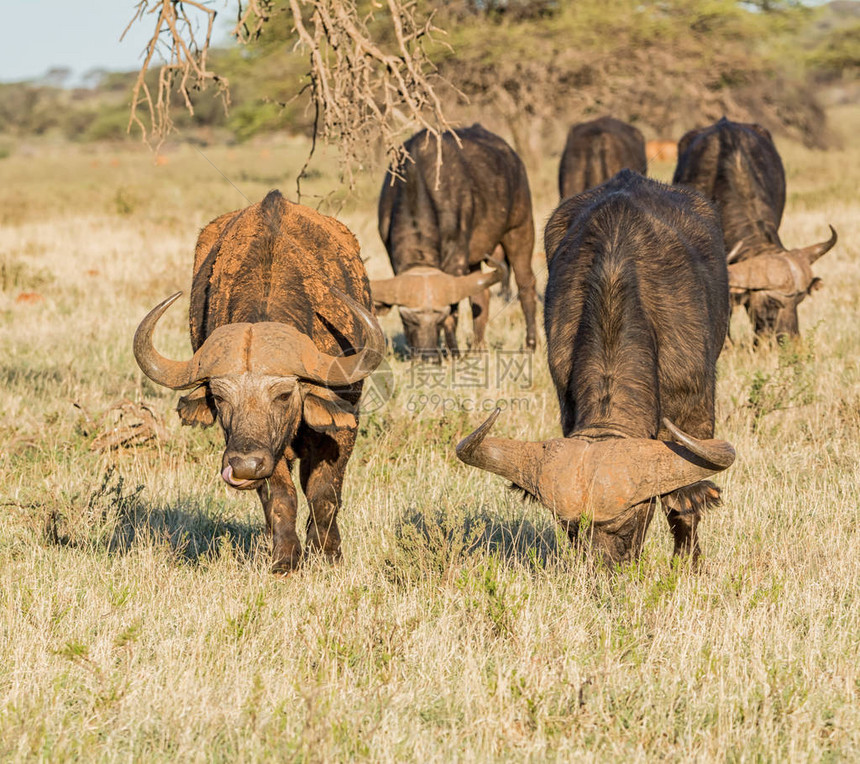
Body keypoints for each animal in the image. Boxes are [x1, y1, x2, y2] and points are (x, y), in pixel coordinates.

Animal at [134, 191, 382, 572]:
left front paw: (327, 554)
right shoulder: (263, 448)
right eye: (221, 398)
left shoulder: (342, 426)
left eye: (283, 395)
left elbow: (324, 492)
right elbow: (280, 493)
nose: (244, 466)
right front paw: (286, 558)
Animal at [372, 125, 536, 358]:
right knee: (481, 296)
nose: (428, 356)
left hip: (520, 230)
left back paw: (530, 344)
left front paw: (454, 353)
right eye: (407, 319)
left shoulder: (456, 259)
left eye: (440, 317)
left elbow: (456, 311)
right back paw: (477, 347)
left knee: (526, 283)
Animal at [460, 173, 736, 568]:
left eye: (628, 523)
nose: (602, 570)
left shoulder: (693, 407)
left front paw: (688, 563)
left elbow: (685, 497)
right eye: (570, 528)